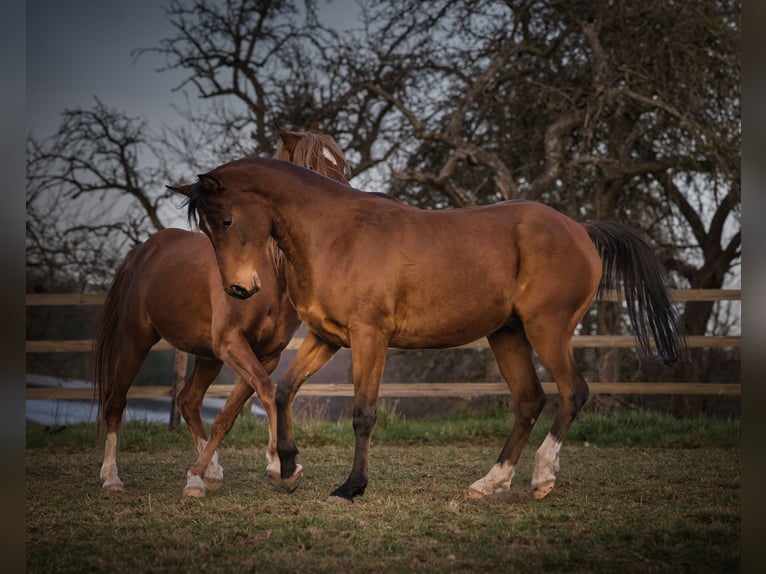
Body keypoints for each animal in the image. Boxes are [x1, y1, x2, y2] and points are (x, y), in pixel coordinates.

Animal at [93, 126, 350, 496]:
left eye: (341, 163)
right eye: (311, 167)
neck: (266, 272)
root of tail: (143, 251)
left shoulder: (265, 354)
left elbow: (232, 412)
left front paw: (207, 474)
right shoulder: (233, 344)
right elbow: (267, 392)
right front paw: (280, 466)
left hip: (208, 356)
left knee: (188, 400)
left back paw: (209, 471)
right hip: (135, 341)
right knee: (116, 401)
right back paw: (111, 477)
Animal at [173, 157, 686, 504]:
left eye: (227, 219)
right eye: (209, 229)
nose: (239, 289)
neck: (335, 234)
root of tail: (579, 229)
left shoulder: (370, 337)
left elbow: (363, 413)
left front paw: (351, 487)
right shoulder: (327, 338)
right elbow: (282, 391)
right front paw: (288, 469)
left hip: (548, 329)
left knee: (573, 391)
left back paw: (542, 478)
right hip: (508, 335)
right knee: (529, 400)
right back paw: (490, 482)